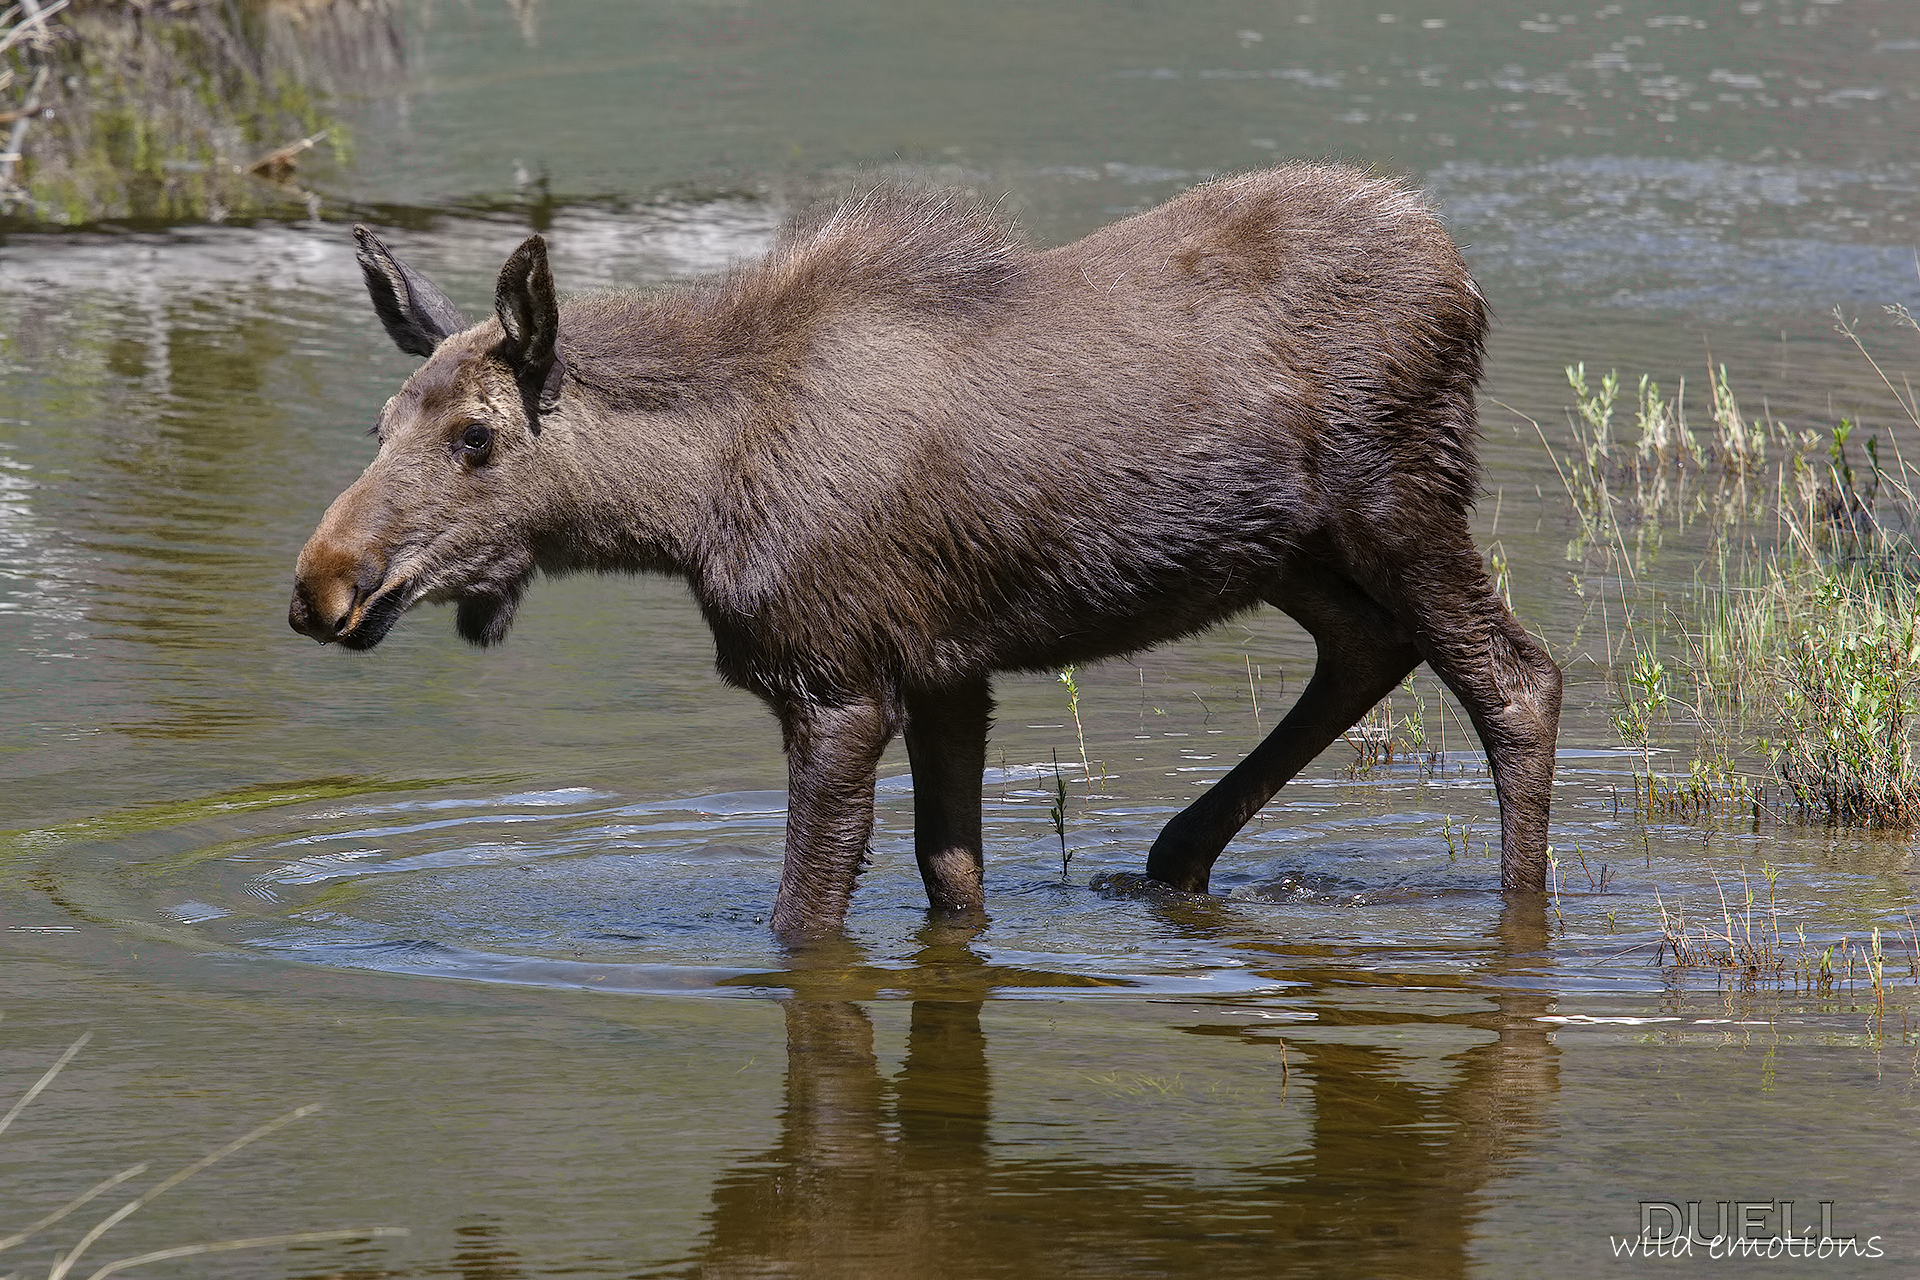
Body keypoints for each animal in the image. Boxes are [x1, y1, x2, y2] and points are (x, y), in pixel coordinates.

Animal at [288, 163, 1562, 936]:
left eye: (476, 435)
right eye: (378, 424)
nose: (321, 585)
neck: (688, 504)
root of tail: (1467, 282)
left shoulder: (839, 682)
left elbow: (803, 917)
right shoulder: (950, 669)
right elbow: (953, 876)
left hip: (1398, 506)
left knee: (1518, 680)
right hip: (1293, 550)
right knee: (1368, 648)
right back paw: (1173, 855)